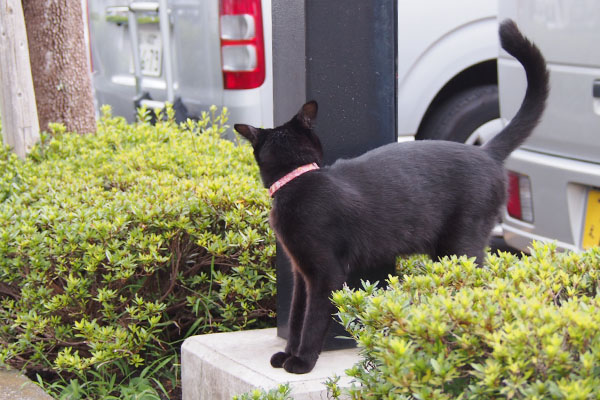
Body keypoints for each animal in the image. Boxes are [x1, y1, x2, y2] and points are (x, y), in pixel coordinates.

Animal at [234, 20, 548, 374]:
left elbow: (313, 320)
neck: (298, 180)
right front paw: (287, 353)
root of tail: (487, 152)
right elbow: (296, 316)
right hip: (444, 252)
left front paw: (302, 361)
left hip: (462, 245)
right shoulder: (301, 272)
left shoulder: (326, 273)